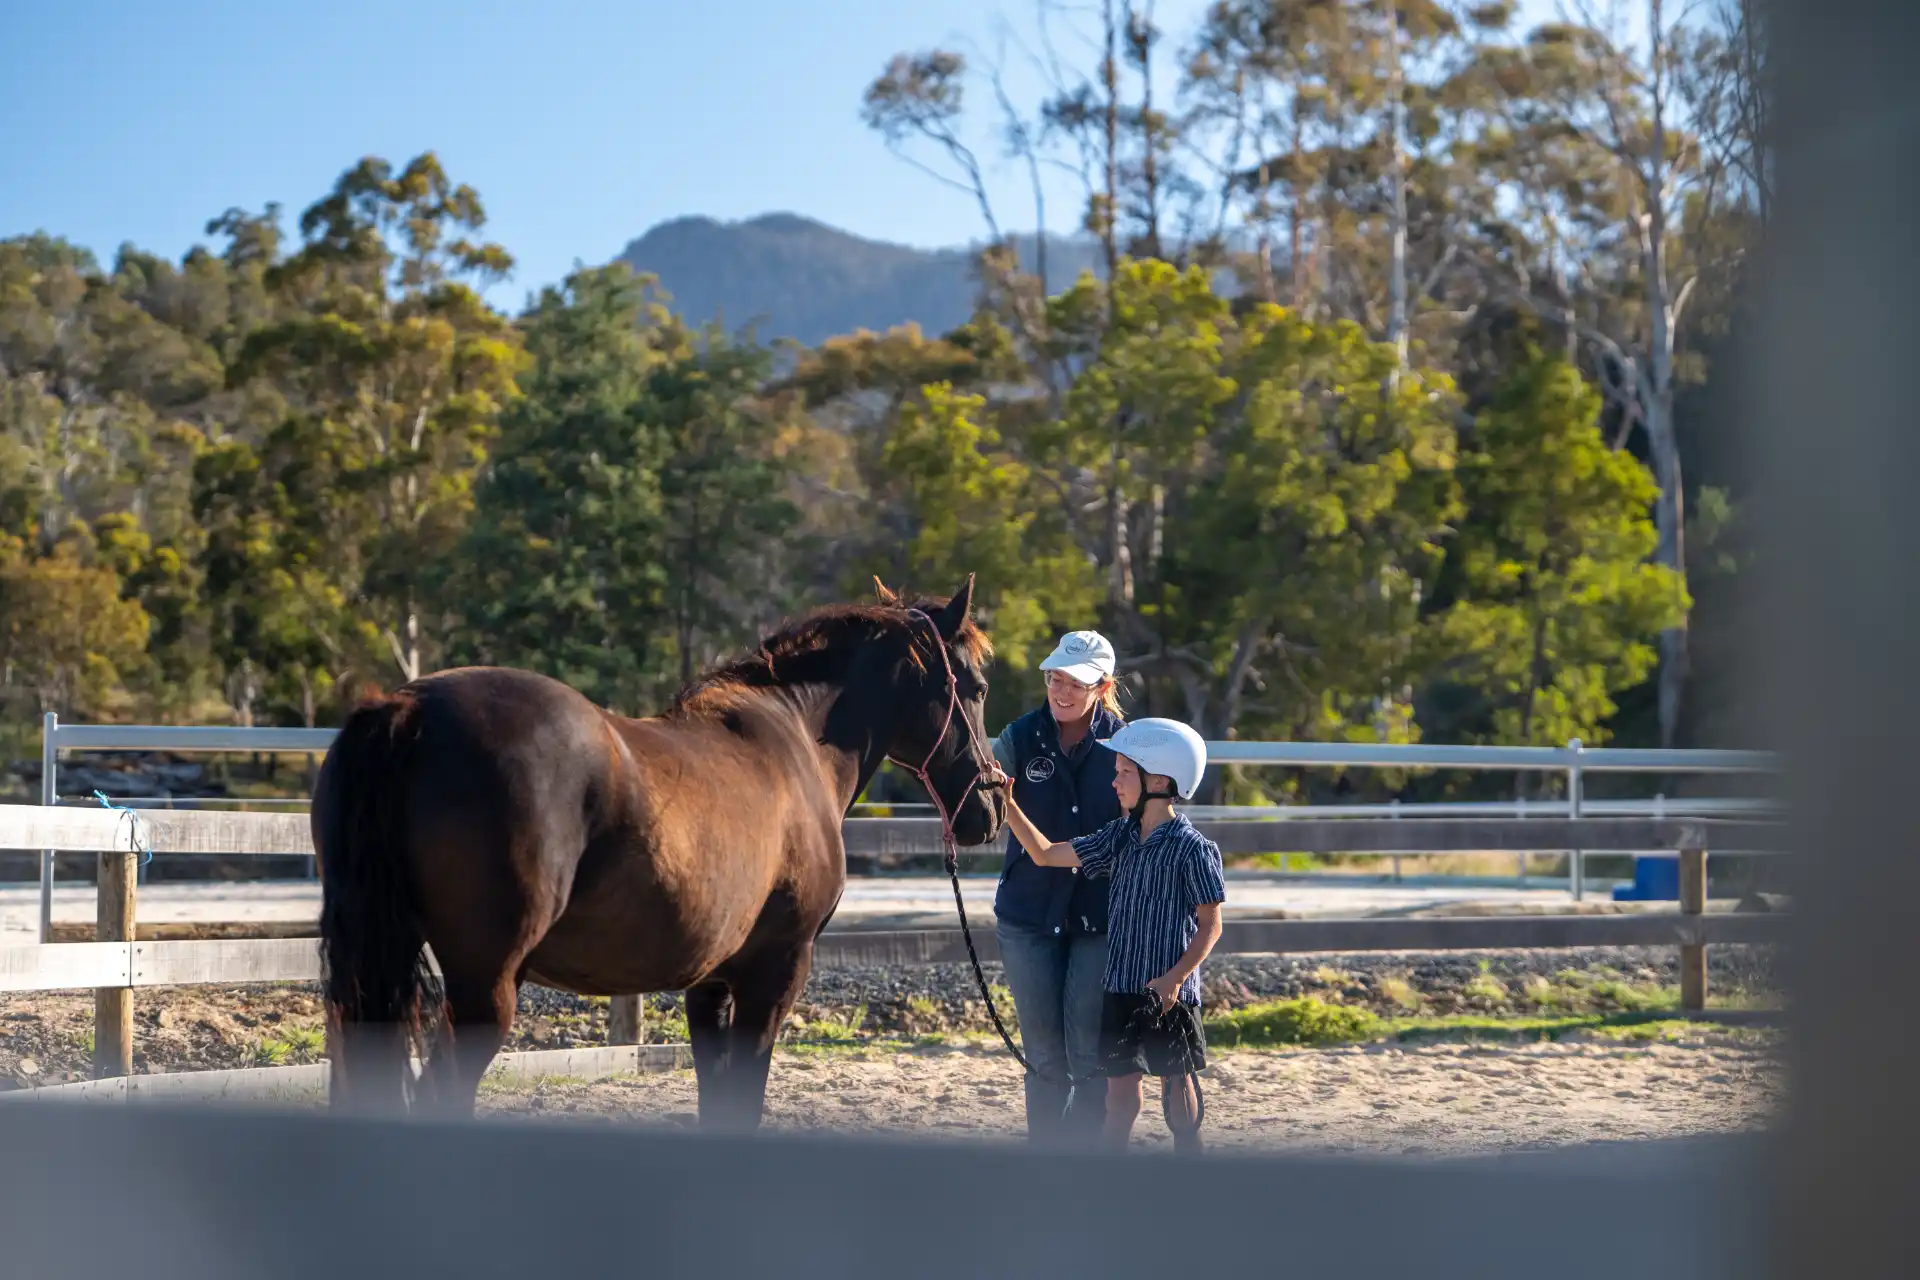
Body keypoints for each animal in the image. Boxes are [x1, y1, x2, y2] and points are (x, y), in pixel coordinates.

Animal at [312, 576, 1004, 1128]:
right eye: (974, 686)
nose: (991, 807)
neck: (797, 739)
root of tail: (407, 708)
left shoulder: (712, 981)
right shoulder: (776, 971)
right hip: (485, 987)